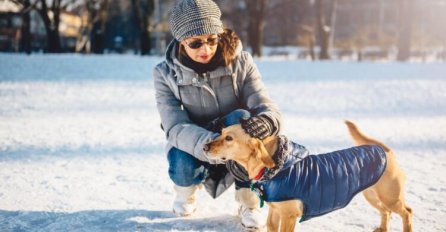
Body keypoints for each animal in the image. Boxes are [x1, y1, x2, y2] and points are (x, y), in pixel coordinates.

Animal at [204, 120, 412, 231]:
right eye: (221, 132)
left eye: (229, 138)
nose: (204, 147)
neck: (278, 165)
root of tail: (385, 150)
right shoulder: (275, 212)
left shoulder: (289, 216)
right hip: (373, 196)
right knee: (386, 213)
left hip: (391, 197)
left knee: (407, 212)